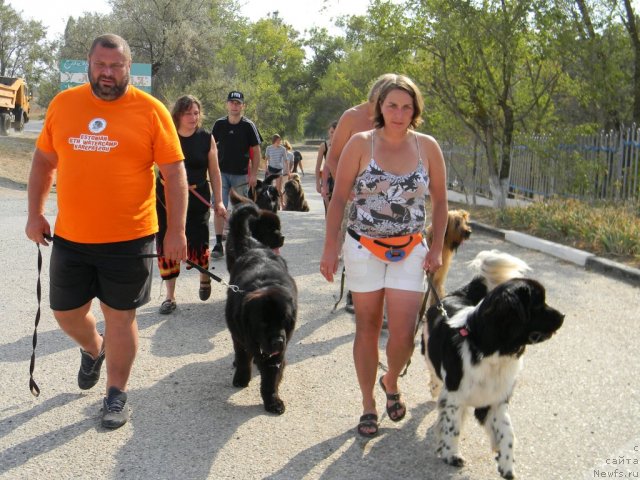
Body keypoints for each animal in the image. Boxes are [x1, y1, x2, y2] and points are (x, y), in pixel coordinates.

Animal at [224, 201, 296, 414]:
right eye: (263, 323)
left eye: (284, 320)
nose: (278, 340)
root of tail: (253, 245)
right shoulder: (239, 335)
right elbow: (242, 358)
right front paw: (241, 378)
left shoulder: (277, 353)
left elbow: (270, 379)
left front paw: (273, 401)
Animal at [422, 249, 564, 478]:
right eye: (537, 304)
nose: (563, 316)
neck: (491, 352)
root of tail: (456, 294)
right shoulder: (454, 396)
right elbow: (452, 427)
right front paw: (451, 455)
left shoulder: (496, 400)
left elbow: (508, 433)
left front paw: (506, 464)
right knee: (434, 374)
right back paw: (435, 389)